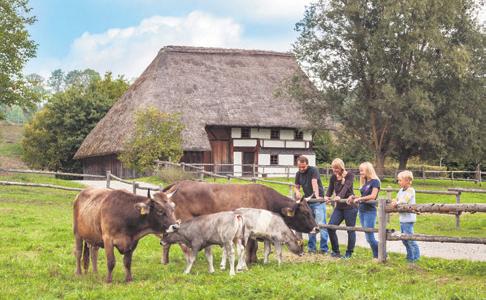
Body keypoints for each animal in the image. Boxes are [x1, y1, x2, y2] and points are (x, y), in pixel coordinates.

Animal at [160, 179, 318, 264]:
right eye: (305, 213)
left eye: (311, 211)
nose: (317, 228)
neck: (266, 199)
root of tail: (180, 183)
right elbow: (251, 246)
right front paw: (249, 261)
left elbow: (254, 246)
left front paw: (253, 260)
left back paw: (165, 261)